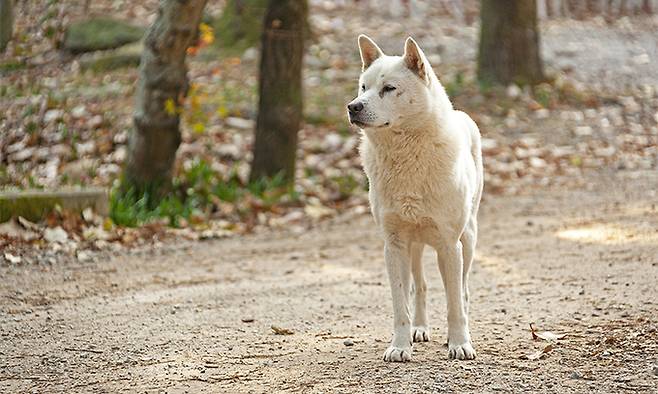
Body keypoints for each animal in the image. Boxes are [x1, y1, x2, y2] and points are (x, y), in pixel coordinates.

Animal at [348, 35, 482, 362]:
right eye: (363, 87)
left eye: (388, 88)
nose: (352, 107)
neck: (405, 156)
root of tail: (463, 115)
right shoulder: (394, 245)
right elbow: (401, 305)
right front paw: (400, 346)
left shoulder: (449, 244)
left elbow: (454, 303)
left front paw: (459, 344)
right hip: (415, 247)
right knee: (419, 286)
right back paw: (418, 330)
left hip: (468, 239)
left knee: (463, 290)